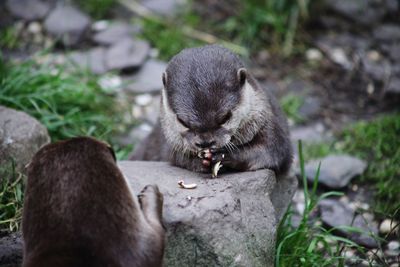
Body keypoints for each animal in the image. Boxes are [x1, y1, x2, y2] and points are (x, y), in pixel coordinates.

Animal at [133, 45, 292, 177]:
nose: (205, 143)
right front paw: (198, 161)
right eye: (183, 122)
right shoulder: (169, 143)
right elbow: (176, 157)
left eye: (225, 118)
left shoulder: (267, 120)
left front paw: (224, 155)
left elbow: (270, 151)